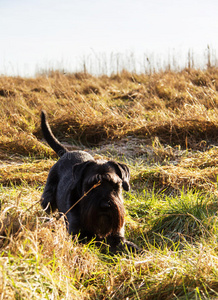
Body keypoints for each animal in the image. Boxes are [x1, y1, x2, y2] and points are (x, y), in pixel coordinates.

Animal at [40, 111, 139, 252]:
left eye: (115, 185)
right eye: (91, 185)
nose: (105, 205)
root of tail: (66, 152)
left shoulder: (117, 236)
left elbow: (127, 245)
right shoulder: (78, 236)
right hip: (47, 199)